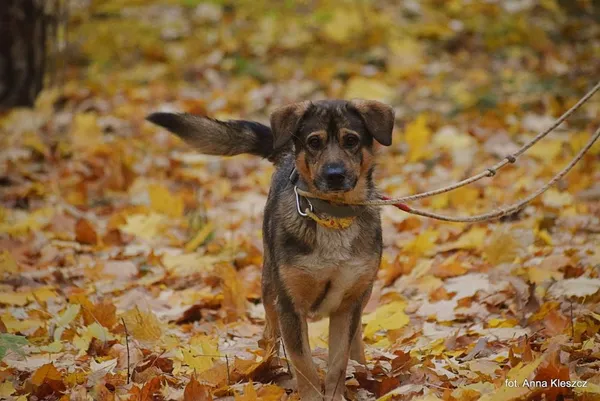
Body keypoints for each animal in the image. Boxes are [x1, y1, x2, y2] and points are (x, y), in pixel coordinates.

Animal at [146, 97, 394, 400]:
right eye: (314, 142)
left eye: (351, 140)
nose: (335, 175)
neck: (331, 217)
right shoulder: (289, 305)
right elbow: (304, 365)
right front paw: (310, 394)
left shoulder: (347, 305)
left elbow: (337, 363)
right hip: (269, 289)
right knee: (270, 335)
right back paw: (268, 366)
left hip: (362, 292)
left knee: (355, 336)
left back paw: (362, 367)